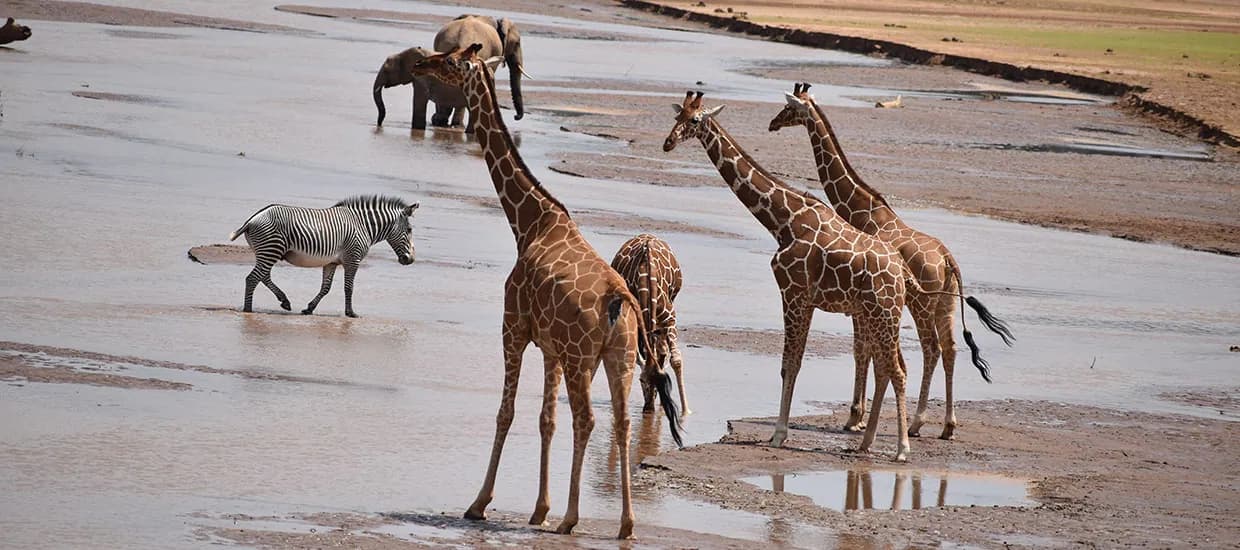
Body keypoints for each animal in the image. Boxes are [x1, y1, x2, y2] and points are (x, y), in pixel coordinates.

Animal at [228, 195, 419, 317]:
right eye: (409, 230)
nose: (410, 260)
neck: (363, 225)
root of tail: (252, 219)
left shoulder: (331, 262)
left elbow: (325, 288)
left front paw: (309, 309)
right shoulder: (353, 259)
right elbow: (349, 287)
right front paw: (350, 313)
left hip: (267, 252)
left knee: (263, 276)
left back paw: (284, 301)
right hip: (271, 250)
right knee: (253, 278)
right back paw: (248, 310)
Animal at [610, 233, 690, 416]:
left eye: (661, 381)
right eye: (641, 380)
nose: (648, 409)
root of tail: (646, 236)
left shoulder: (670, 318)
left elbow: (675, 360)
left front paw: (685, 411)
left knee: (662, 350)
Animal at [663, 90, 918, 461]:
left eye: (695, 120)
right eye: (677, 116)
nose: (668, 142)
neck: (783, 221)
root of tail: (902, 272)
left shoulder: (793, 294)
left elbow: (789, 364)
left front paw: (778, 434)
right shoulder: (804, 300)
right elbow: (792, 363)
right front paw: (779, 432)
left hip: (883, 314)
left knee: (896, 370)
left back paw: (901, 448)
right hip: (878, 315)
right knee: (889, 366)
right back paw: (866, 442)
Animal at [768, 82, 1014, 440]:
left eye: (789, 108)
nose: (772, 123)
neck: (863, 210)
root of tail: (948, 260)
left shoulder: (861, 305)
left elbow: (862, 351)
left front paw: (855, 417)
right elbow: (870, 352)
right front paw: (860, 417)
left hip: (922, 305)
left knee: (932, 349)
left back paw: (917, 422)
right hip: (944, 305)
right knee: (952, 349)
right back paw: (948, 425)